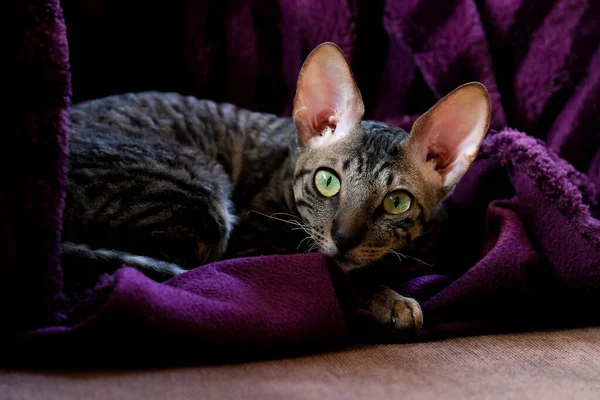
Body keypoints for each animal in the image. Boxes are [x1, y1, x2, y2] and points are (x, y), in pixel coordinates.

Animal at [61, 43, 492, 332]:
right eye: (327, 181)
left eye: (397, 202)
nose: (344, 238)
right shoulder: (257, 243)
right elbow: (335, 273)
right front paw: (391, 300)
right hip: (203, 195)